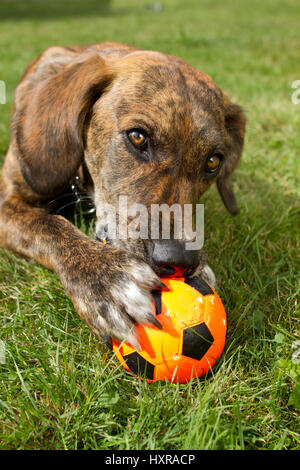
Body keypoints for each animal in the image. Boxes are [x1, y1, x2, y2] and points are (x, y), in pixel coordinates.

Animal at [0, 43, 246, 348]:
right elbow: (48, 225)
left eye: (213, 161)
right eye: (137, 136)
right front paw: (106, 279)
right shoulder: (8, 202)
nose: (178, 262)